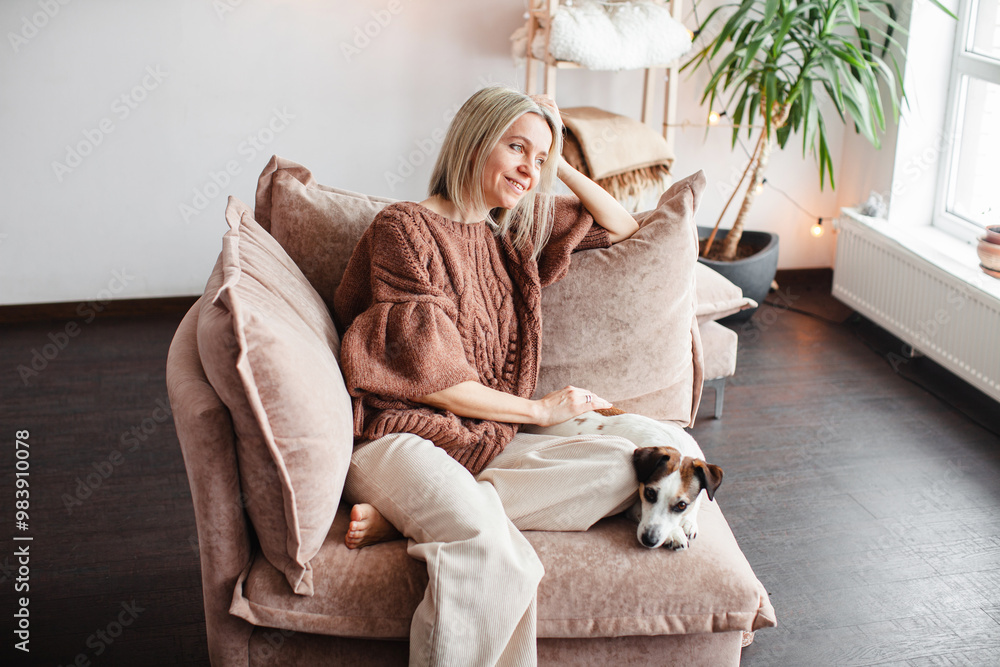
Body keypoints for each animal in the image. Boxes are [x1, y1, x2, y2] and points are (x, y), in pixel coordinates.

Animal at [524, 410, 720, 552]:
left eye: (681, 505)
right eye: (649, 493)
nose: (649, 540)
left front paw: (688, 522)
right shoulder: (634, 507)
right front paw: (675, 533)